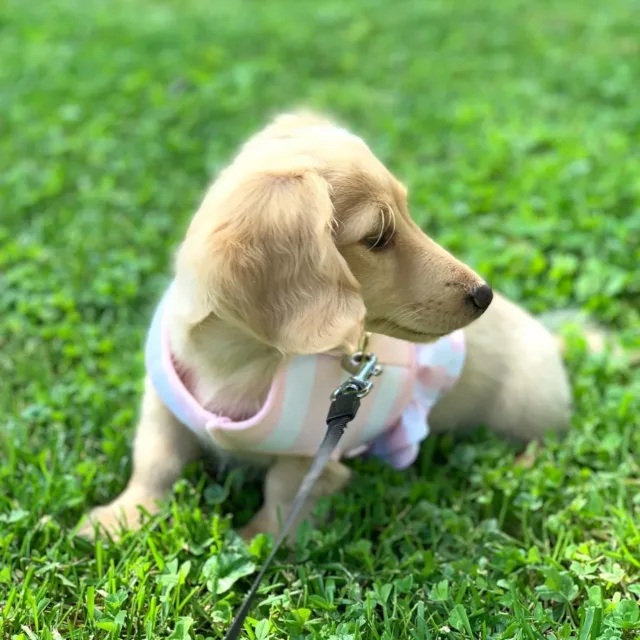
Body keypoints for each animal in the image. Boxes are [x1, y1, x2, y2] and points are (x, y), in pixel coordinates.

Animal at [76, 112, 576, 544]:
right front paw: (122, 517)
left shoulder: (311, 455)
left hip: (524, 406)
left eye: (408, 213)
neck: (242, 363)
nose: (484, 294)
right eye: (378, 237)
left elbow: (284, 493)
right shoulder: (162, 408)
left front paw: (256, 542)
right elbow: (156, 460)